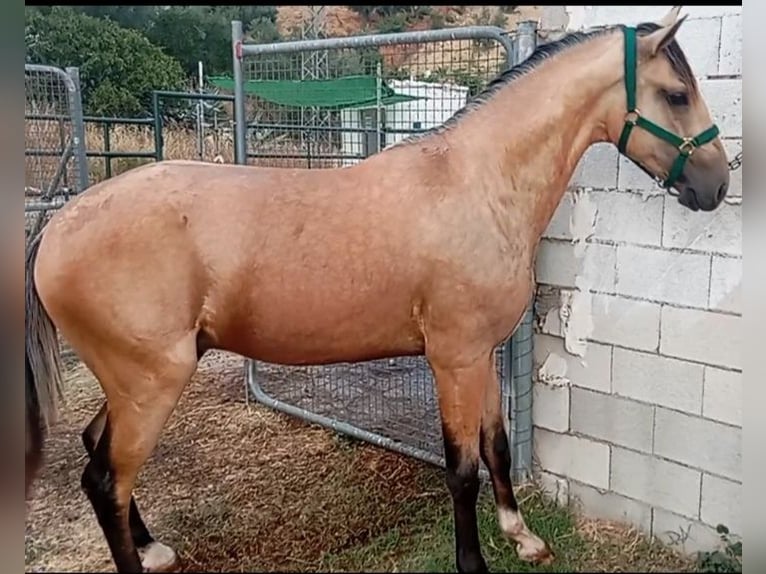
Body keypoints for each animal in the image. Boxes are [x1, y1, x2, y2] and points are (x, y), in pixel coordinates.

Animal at [24, 6, 732, 572]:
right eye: (675, 94)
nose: (717, 185)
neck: (476, 183)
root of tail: (57, 227)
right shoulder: (452, 359)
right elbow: (462, 469)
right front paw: (474, 562)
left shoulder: (480, 356)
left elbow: (498, 447)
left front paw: (523, 538)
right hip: (151, 383)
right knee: (107, 480)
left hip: (136, 380)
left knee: (96, 455)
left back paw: (153, 548)